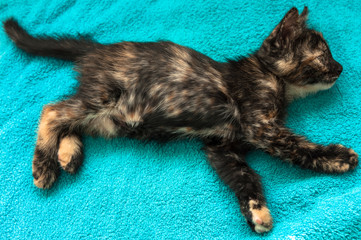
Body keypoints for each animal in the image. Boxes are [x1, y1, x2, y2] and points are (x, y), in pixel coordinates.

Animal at [3, 7, 358, 232]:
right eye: (323, 56)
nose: (341, 68)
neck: (269, 76)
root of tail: (96, 49)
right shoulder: (260, 125)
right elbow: (296, 147)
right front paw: (336, 157)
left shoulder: (220, 147)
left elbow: (243, 176)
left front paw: (256, 210)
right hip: (106, 97)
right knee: (52, 110)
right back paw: (44, 167)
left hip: (110, 118)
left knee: (69, 119)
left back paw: (68, 154)